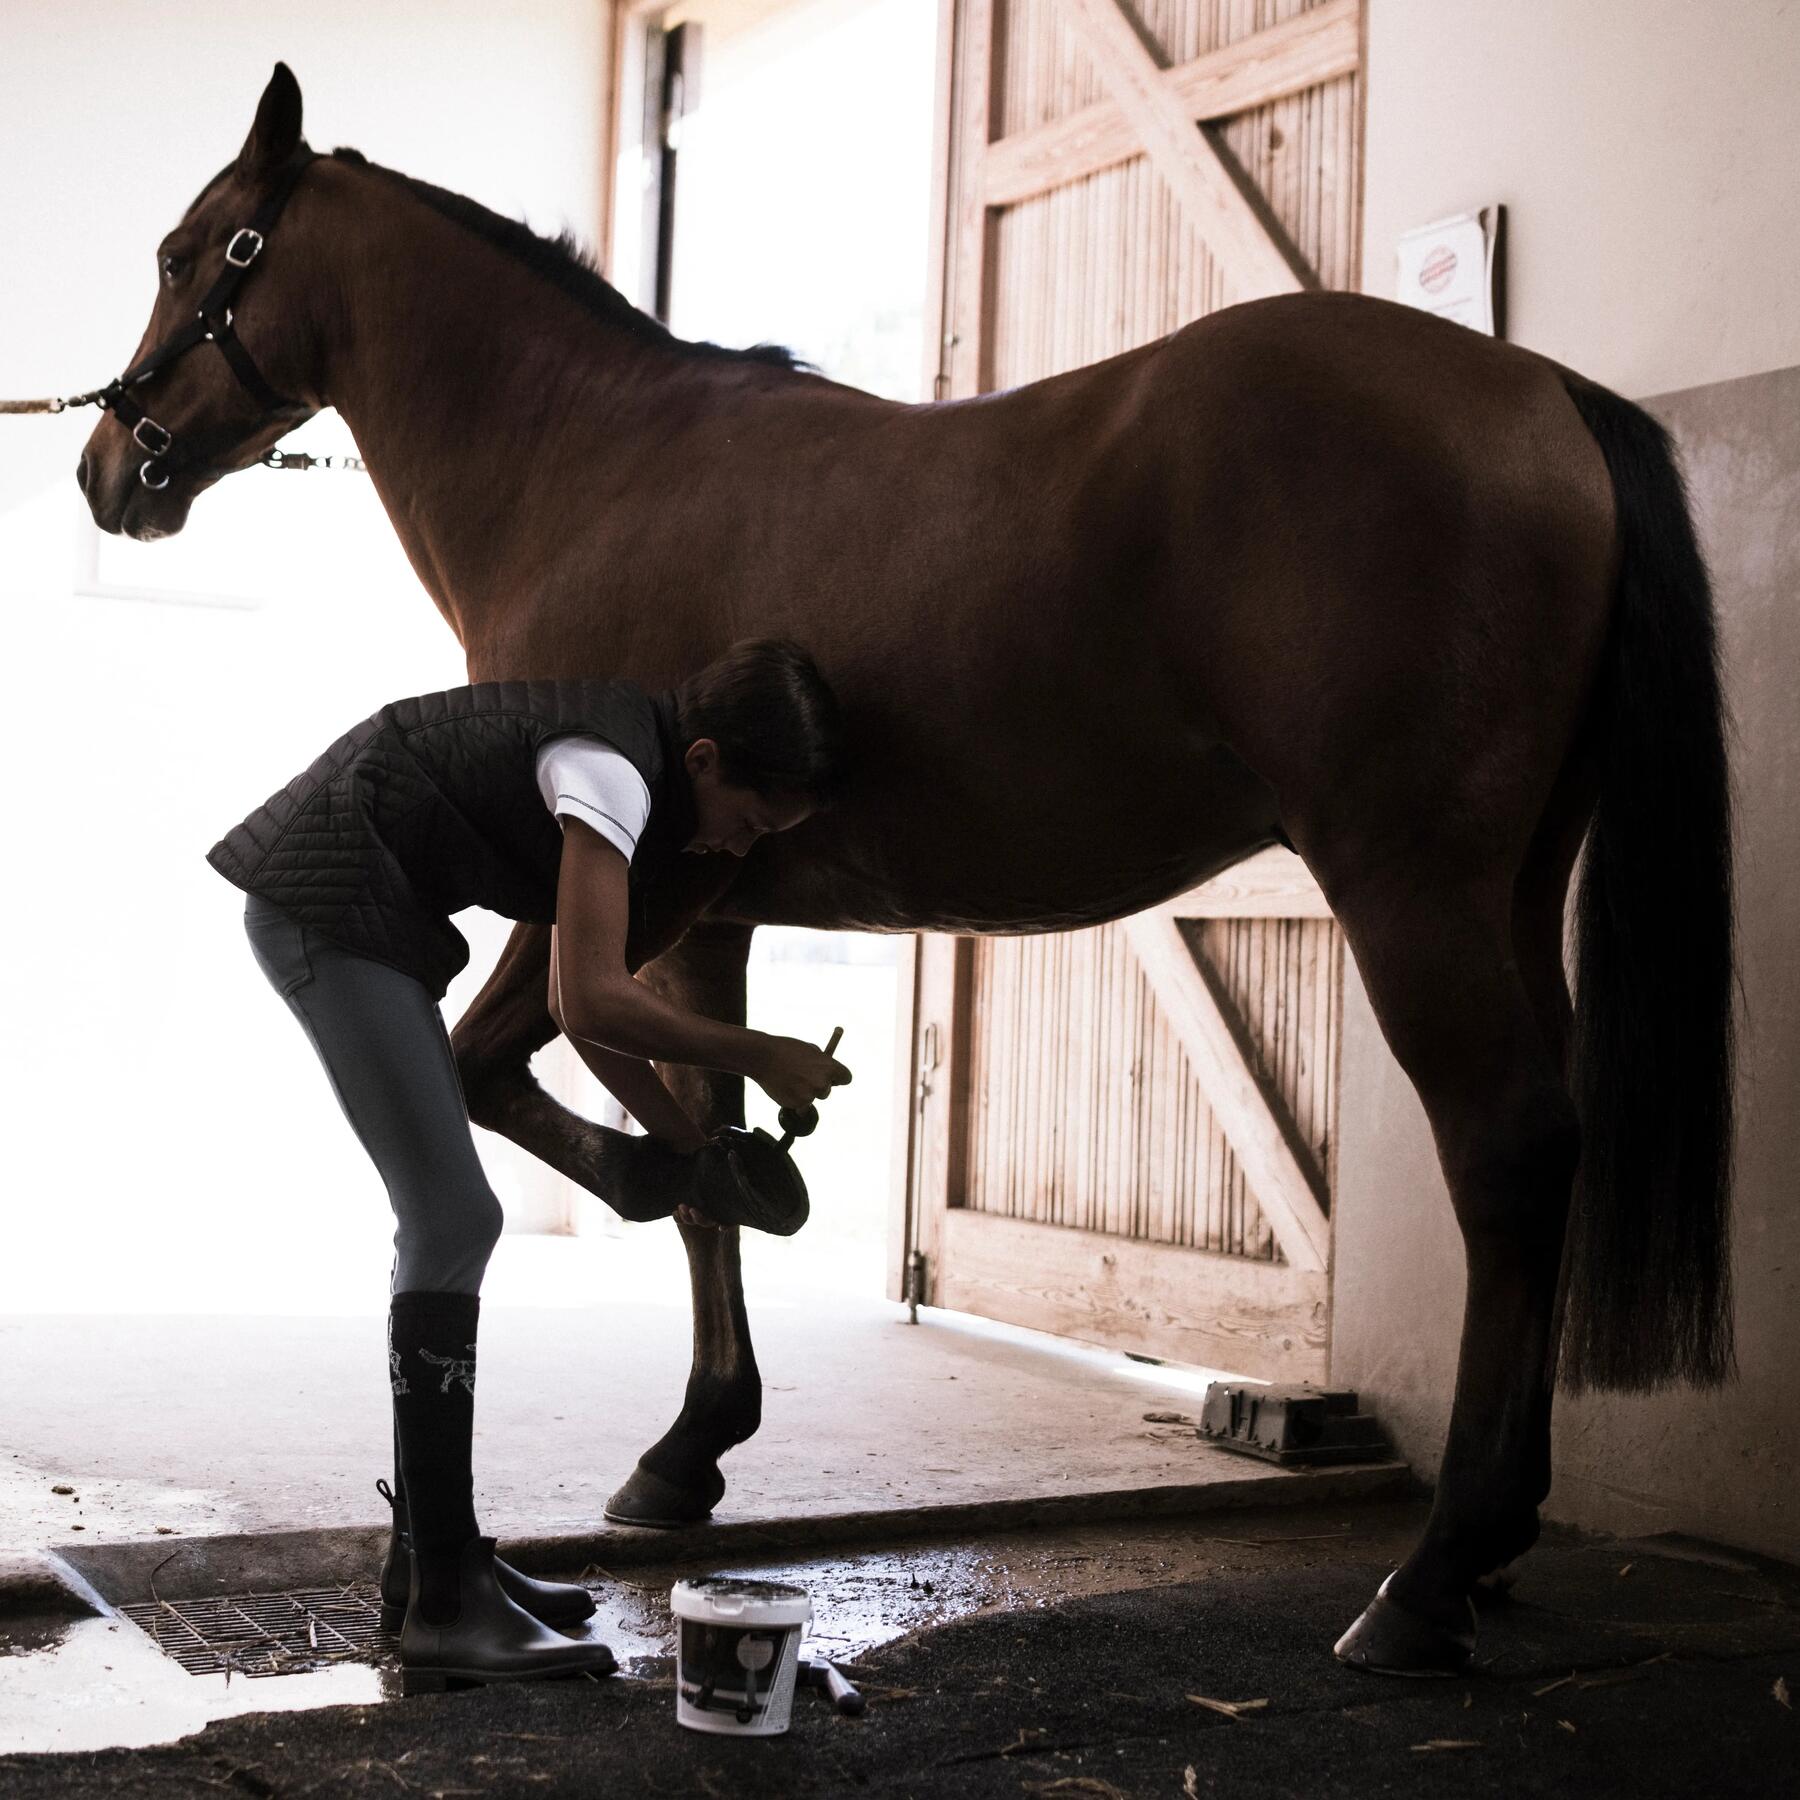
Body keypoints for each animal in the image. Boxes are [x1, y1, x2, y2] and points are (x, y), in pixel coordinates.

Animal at [77, 70, 1735, 1670]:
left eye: (187, 251)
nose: (105, 465)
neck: (591, 463)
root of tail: (1545, 393)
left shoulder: (606, 896)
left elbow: (541, 1094)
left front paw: (685, 1237)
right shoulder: (706, 920)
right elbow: (697, 1127)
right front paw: (697, 1432)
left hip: (1416, 893)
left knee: (1507, 1152)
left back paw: (1432, 1581)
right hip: (1512, 896)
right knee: (1554, 1144)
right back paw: (1498, 1541)